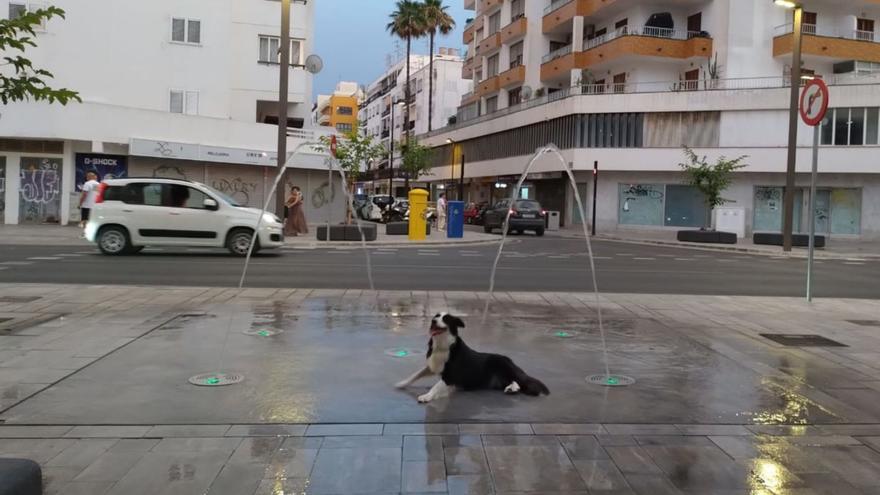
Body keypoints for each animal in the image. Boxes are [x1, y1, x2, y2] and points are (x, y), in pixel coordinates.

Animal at [396, 314, 548, 404]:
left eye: (446, 319)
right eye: (436, 317)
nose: (433, 321)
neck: (443, 345)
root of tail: (510, 360)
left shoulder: (451, 375)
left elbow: (437, 386)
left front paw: (427, 396)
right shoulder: (433, 366)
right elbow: (415, 374)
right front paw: (402, 383)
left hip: (503, 365)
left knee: (522, 382)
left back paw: (514, 389)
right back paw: (510, 389)